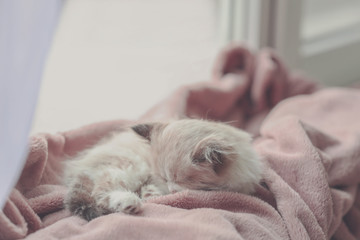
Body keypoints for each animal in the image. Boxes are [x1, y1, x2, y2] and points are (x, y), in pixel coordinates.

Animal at [63, 119, 262, 220]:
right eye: (164, 178)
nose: (171, 189)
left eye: (183, 180)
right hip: (131, 168)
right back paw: (129, 203)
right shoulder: (150, 178)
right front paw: (153, 196)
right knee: (100, 193)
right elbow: (151, 192)